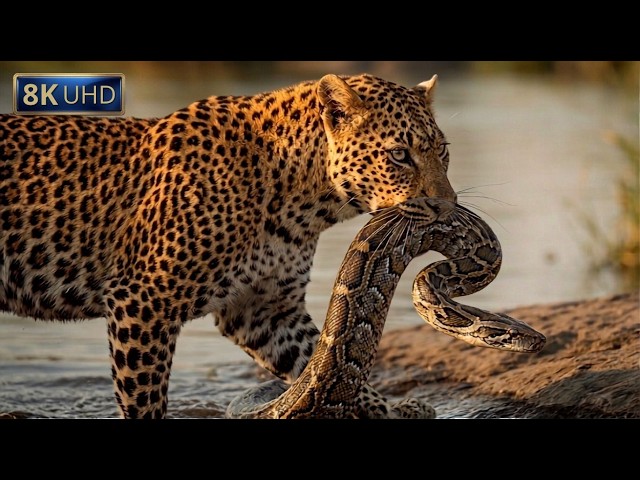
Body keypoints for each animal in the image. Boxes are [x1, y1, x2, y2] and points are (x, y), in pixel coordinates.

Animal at [0, 73, 457, 419]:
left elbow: (330, 366)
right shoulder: (142, 301)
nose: (447, 205)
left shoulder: (263, 310)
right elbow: (145, 399)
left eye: (443, 150)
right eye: (399, 155)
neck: (302, 200)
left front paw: (395, 410)